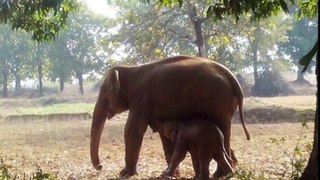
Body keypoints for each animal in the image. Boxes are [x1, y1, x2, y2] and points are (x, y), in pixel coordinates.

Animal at [90, 55, 250, 176]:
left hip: (217, 102)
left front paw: (124, 173)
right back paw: (227, 169)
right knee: (224, 131)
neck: (130, 68)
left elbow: (133, 129)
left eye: (103, 93)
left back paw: (220, 174)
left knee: (222, 127)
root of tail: (231, 77)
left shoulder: (141, 98)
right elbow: (162, 133)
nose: (100, 166)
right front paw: (173, 173)